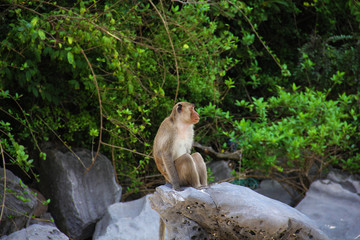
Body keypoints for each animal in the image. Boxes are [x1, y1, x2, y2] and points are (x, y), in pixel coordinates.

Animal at [153, 101, 208, 240]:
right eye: (192, 109)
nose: (197, 114)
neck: (182, 125)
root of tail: (166, 179)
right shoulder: (170, 132)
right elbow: (166, 154)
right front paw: (177, 187)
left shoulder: (190, 131)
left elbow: (189, 151)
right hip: (179, 176)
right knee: (187, 159)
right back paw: (196, 186)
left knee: (196, 156)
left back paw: (203, 185)